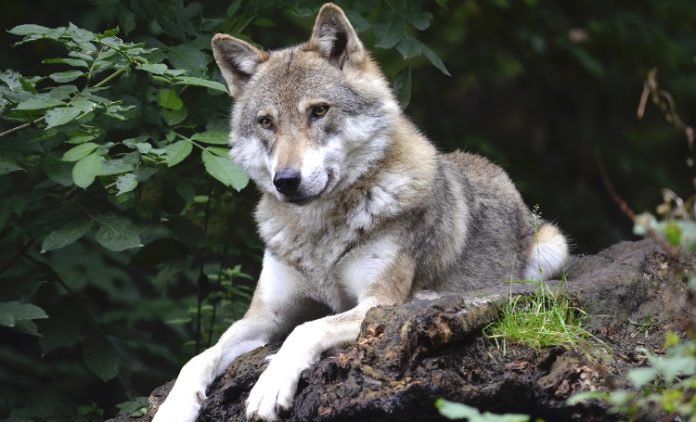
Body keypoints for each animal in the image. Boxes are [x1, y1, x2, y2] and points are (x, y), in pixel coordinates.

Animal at [152, 4, 564, 422]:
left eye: (319, 111)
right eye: (266, 122)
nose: (286, 180)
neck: (318, 235)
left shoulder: (377, 303)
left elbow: (307, 329)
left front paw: (269, 386)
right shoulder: (264, 316)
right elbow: (200, 356)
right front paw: (173, 407)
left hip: (552, 250)